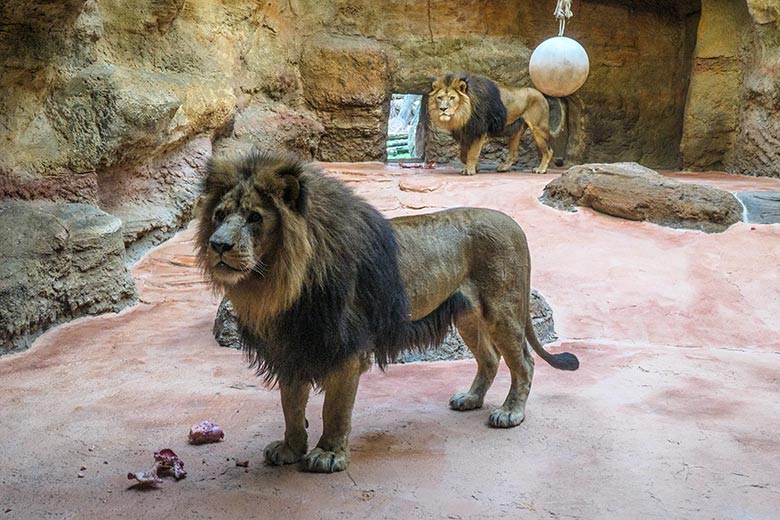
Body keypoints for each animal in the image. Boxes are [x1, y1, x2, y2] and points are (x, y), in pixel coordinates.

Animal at [198, 148, 580, 474]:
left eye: (254, 217)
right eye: (219, 215)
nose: (218, 245)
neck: (280, 283)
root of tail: (512, 223)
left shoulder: (345, 349)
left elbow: (334, 409)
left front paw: (328, 454)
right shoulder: (293, 345)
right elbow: (291, 404)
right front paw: (290, 448)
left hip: (503, 308)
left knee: (524, 362)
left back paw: (510, 412)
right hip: (467, 315)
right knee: (489, 358)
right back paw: (471, 399)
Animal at [426, 72, 560, 176]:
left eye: (452, 98)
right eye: (439, 98)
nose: (443, 109)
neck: (463, 114)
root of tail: (541, 94)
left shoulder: (479, 133)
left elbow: (472, 154)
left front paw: (470, 170)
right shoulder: (466, 134)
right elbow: (463, 155)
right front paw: (475, 167)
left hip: (538, 128)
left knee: (548, 151)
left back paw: (541, 169)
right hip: (515, 132)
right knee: (514, 154)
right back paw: (503, 168)